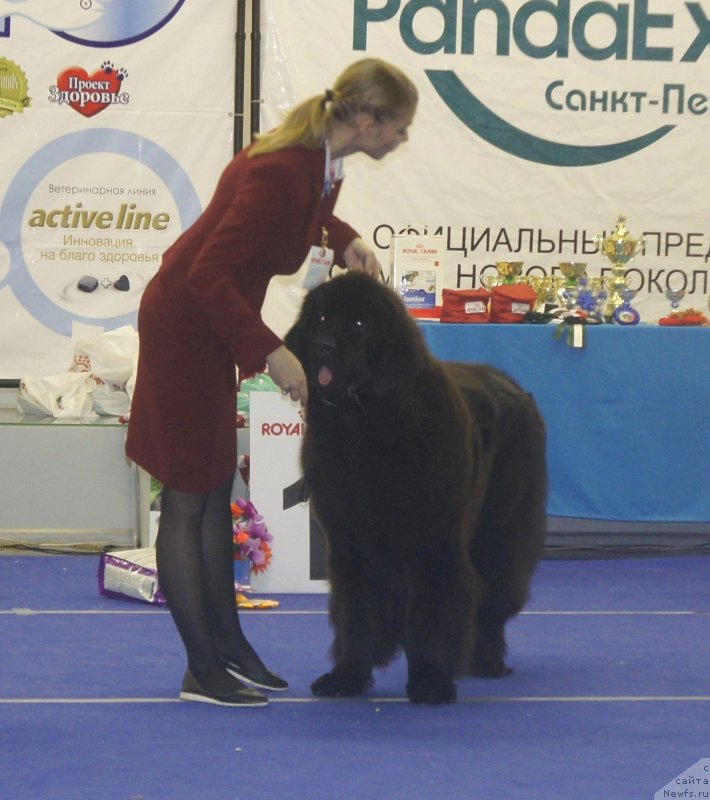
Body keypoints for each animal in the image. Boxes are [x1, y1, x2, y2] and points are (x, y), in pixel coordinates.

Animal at [286, 272, 552, 704]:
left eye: (359, 324)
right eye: (321, 318)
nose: (323, 346)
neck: (363, 425)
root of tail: (511, 384)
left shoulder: (433, 542)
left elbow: (433, 614)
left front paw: (430, 680)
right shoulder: (349, 543)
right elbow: (356, 614)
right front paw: (347, 676)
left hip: (502, 532)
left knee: (492, 599)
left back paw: (487, 661)